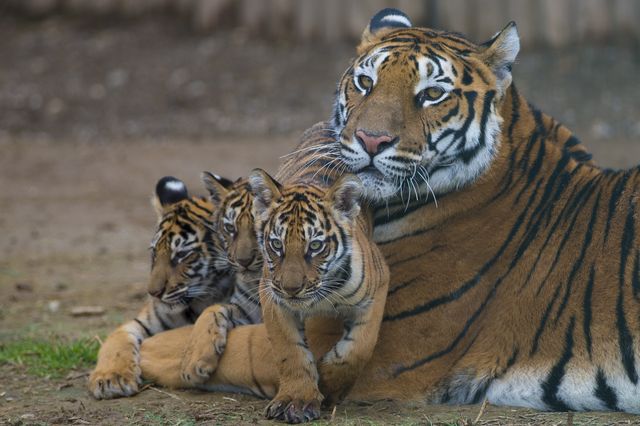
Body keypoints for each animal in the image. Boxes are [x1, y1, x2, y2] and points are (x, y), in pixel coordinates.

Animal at [89, 176, 234, 399]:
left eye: (182, 255)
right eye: (154, 252)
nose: (153, 293)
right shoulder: (142, 322)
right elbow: (114, 338)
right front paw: (111, 379)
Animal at [249, 169, 388, 422]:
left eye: (315, 246)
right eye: (276, 244)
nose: (291, 289)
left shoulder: (377, 290)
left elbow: (358, 348)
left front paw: (326, 384)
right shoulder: (274, 299)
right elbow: (289, 351)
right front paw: (297, 399)